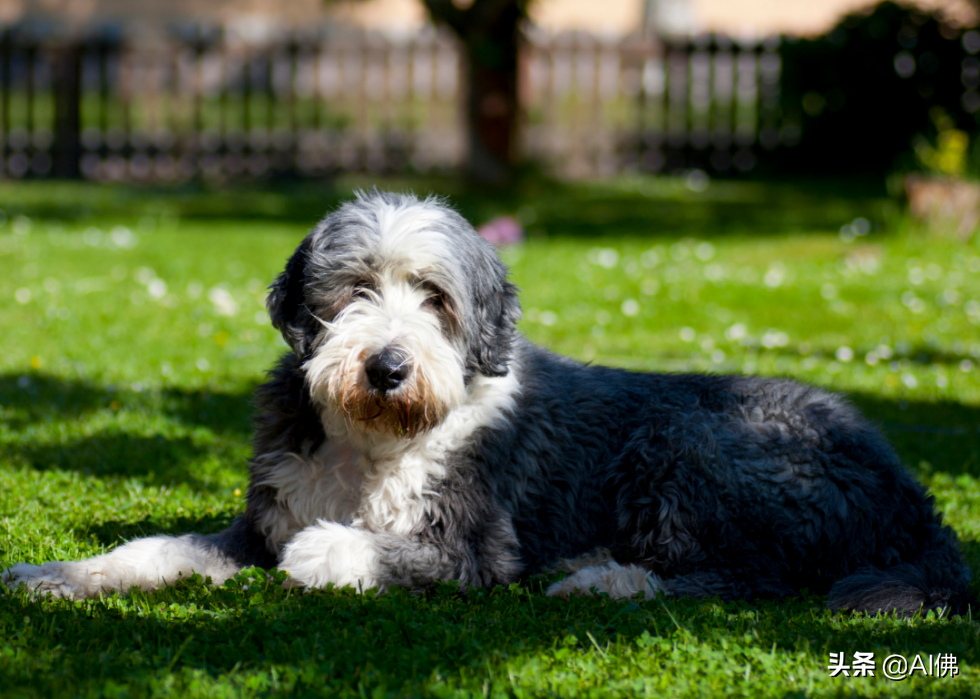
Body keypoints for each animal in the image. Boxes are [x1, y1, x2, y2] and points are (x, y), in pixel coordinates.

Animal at [1, 191, 972, 616]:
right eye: (354, 289)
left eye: (436, 297)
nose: (387, 365)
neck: (376, 442)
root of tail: (915, 499)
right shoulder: (259, 520)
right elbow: (156, 549)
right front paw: (54, 575)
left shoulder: (475, 542)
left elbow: (366, 549)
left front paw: (329, 553)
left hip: (695, 442)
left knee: (752, 573)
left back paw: (602, 578)